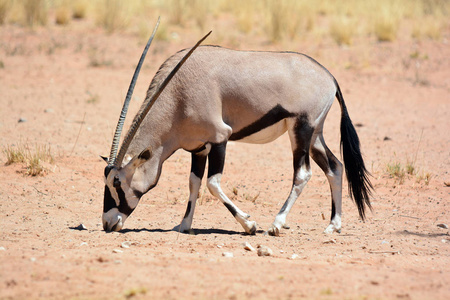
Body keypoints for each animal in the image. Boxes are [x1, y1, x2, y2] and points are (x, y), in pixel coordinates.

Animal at [103, 20, 372, 237]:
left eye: (116, 182)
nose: (108, 223)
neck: (178, 95)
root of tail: (330, 78)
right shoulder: (198, 148)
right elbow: (193, 183)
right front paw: (184, 225)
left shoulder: (220, 138)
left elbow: (212, 183)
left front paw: (249, 225)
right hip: (315, 134)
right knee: (335, 167)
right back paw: (333, 225)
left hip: (301, 130)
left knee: (302, 174)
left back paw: (276, 224)